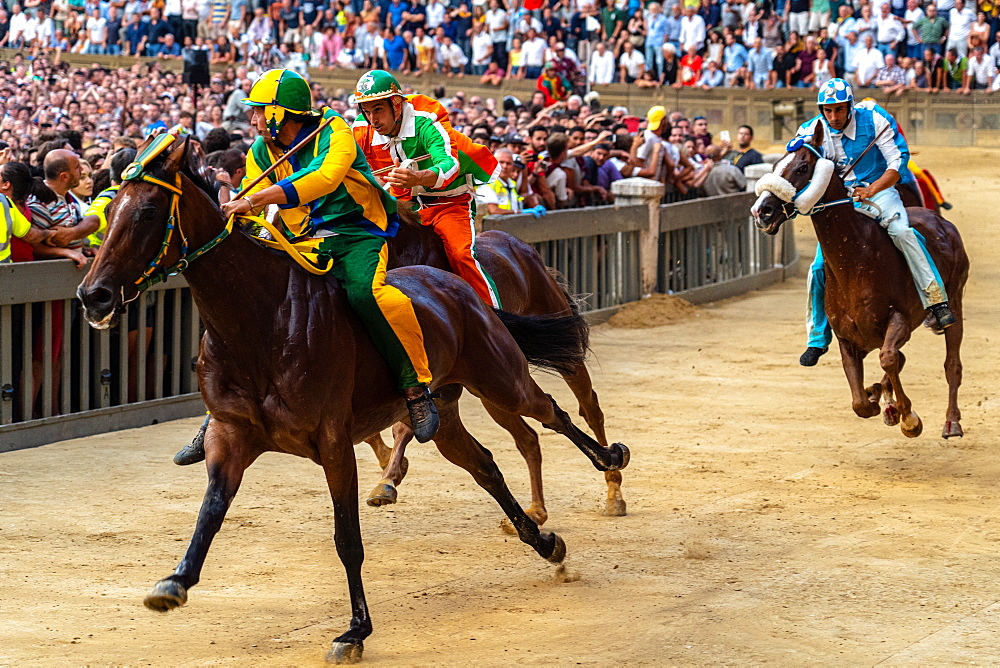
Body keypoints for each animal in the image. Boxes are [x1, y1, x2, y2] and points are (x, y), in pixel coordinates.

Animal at [360, 215, 624, 520]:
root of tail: (524, 248)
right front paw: (389, 472)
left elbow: (405, 426)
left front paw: (390, 475)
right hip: (493, 388)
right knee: (528, 437)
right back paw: (537, 509)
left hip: (557, 347)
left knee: (590, 408)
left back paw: (614, 489)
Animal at [752, 122, 968, 440]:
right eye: (776, 164)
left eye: (803, 167)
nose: (762, 211)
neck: (856, 259)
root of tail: (942, 222)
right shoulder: (847, 337)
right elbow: (860, 402)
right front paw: (879, 399)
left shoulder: (899, 320)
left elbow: (889, 358)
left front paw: (909, 418)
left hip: (955, 301)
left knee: (951, 363)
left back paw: (951, 422)